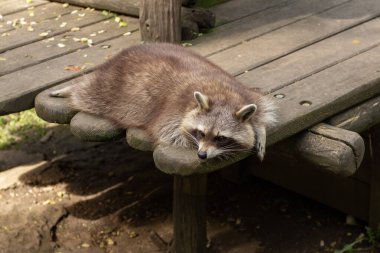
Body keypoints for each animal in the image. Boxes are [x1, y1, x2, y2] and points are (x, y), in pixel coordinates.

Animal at [51, 42, 276, 159]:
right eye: (201, 133)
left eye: (221, 137)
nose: (202, 155)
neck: (222, 96)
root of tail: (123, 53)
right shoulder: (172, 112)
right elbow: (171, 133)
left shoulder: (245, 93)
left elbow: (263, 110)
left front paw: (259, 129)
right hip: (107, 88)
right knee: (86, 93)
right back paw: (72, 89)